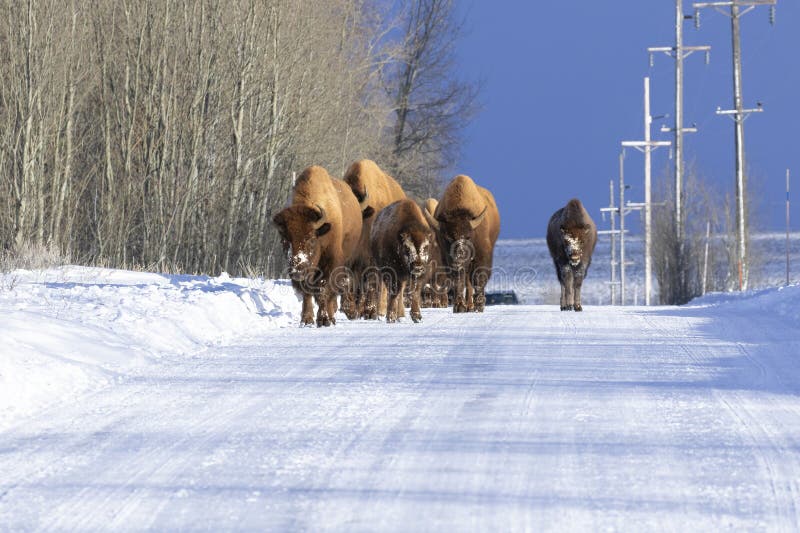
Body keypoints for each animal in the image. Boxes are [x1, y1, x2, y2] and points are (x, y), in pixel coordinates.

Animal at [272, 166, 362, 327]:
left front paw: (324, 319)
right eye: (284, 240)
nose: (296, 267)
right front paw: (306, 319)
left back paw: (334, 316)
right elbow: (307, 292)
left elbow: (323, 289)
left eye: (311, 239)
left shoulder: (330, 263)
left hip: (348, 260)